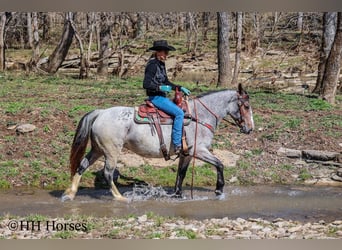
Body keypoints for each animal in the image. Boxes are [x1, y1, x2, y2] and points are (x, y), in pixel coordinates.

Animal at [61, 83, 254, 201]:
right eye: (246, 106)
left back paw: (69, 194)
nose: (250, 128)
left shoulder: (186, 154)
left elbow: (181, 174)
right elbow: (220, 164)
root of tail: (100, 113)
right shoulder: (198, 151)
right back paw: (120, 198)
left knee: (82, 166)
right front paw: (219, 190)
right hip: (111, 151)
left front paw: (177, 194)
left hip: (97, 149)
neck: (200, 116)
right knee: (108, 173)